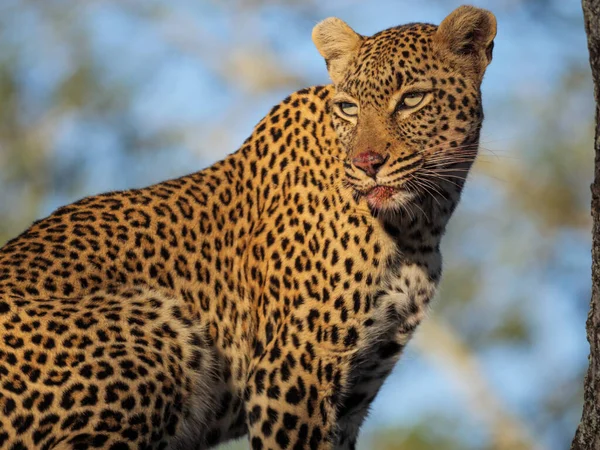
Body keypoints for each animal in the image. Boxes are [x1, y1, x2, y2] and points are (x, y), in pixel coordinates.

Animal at [0, 6, 496, 450]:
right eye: (348, 108)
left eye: (412, 99)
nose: (366, 163)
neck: (419, 225)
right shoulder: (291, 373)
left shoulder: (355, 392)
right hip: (156, 323)